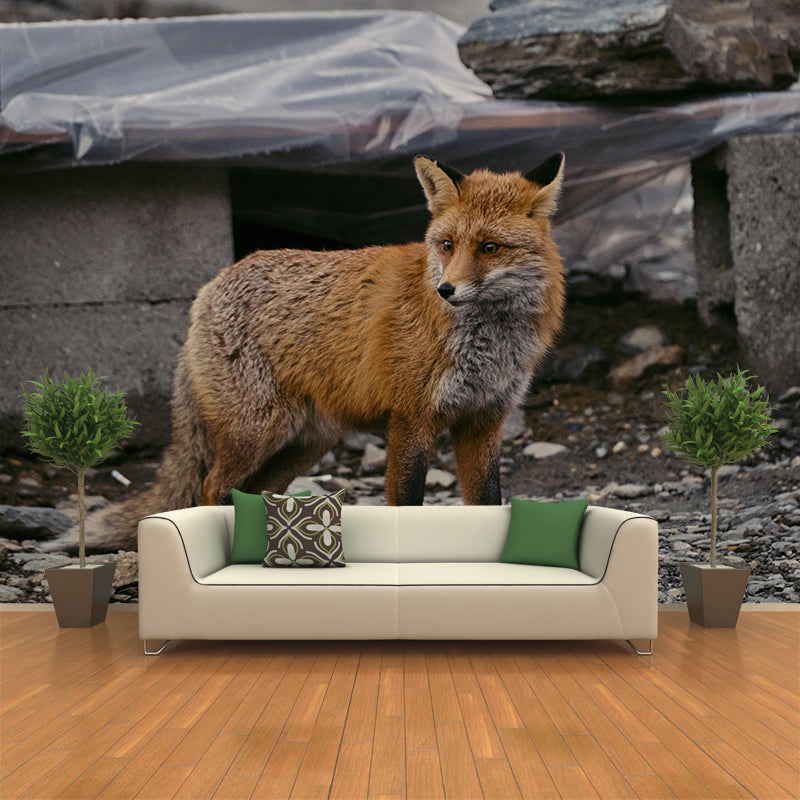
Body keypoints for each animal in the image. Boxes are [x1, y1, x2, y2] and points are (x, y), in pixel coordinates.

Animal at [69, 152, 567, 553]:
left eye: (490, 247)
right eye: (447, 245)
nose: (445, 290)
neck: (488, 344)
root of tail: (210, 287)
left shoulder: (483, 420)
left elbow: (488, 502)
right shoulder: (412, 418)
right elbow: (406, 503)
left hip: (301, 446)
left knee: (249, 494)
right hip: (256, 432)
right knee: (212, 487)